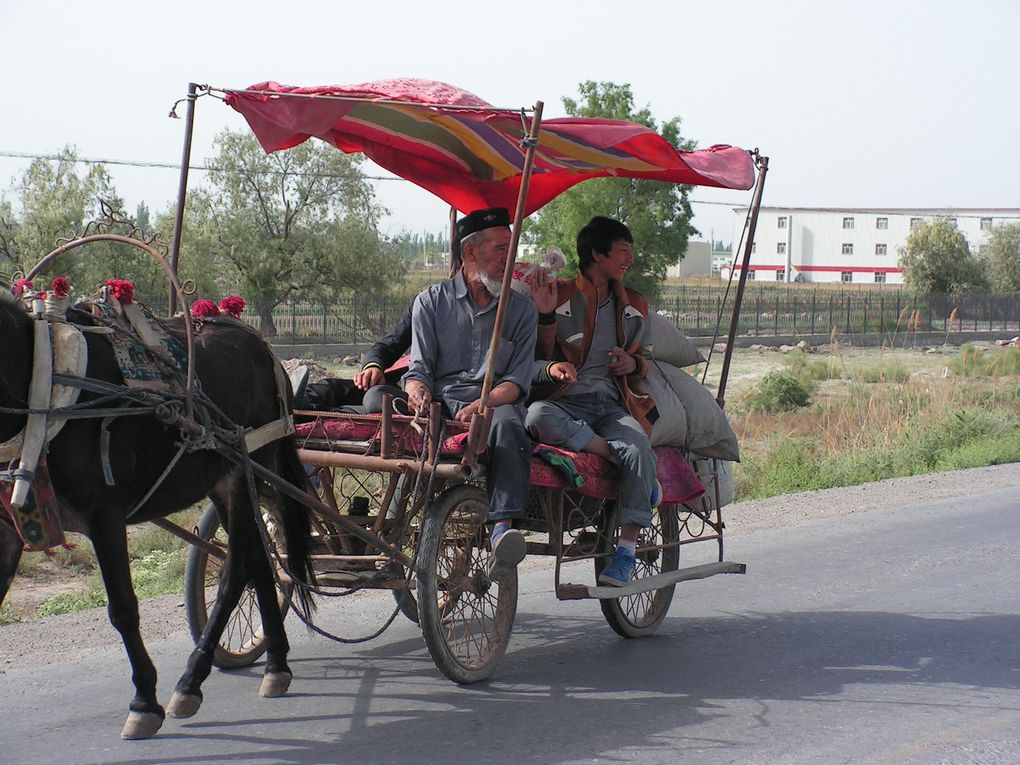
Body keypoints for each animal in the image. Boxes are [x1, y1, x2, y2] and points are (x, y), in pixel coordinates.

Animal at [0, 291, 314, 738]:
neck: (45, 383)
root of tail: (258, 341)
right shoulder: (7, 532)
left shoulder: (105, 517)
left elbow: (123, 609)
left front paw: (144, 702)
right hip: (224, 482)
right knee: (256, 562)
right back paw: (275, 665)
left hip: (247, 467)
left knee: (237, 569)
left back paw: (191, 681)